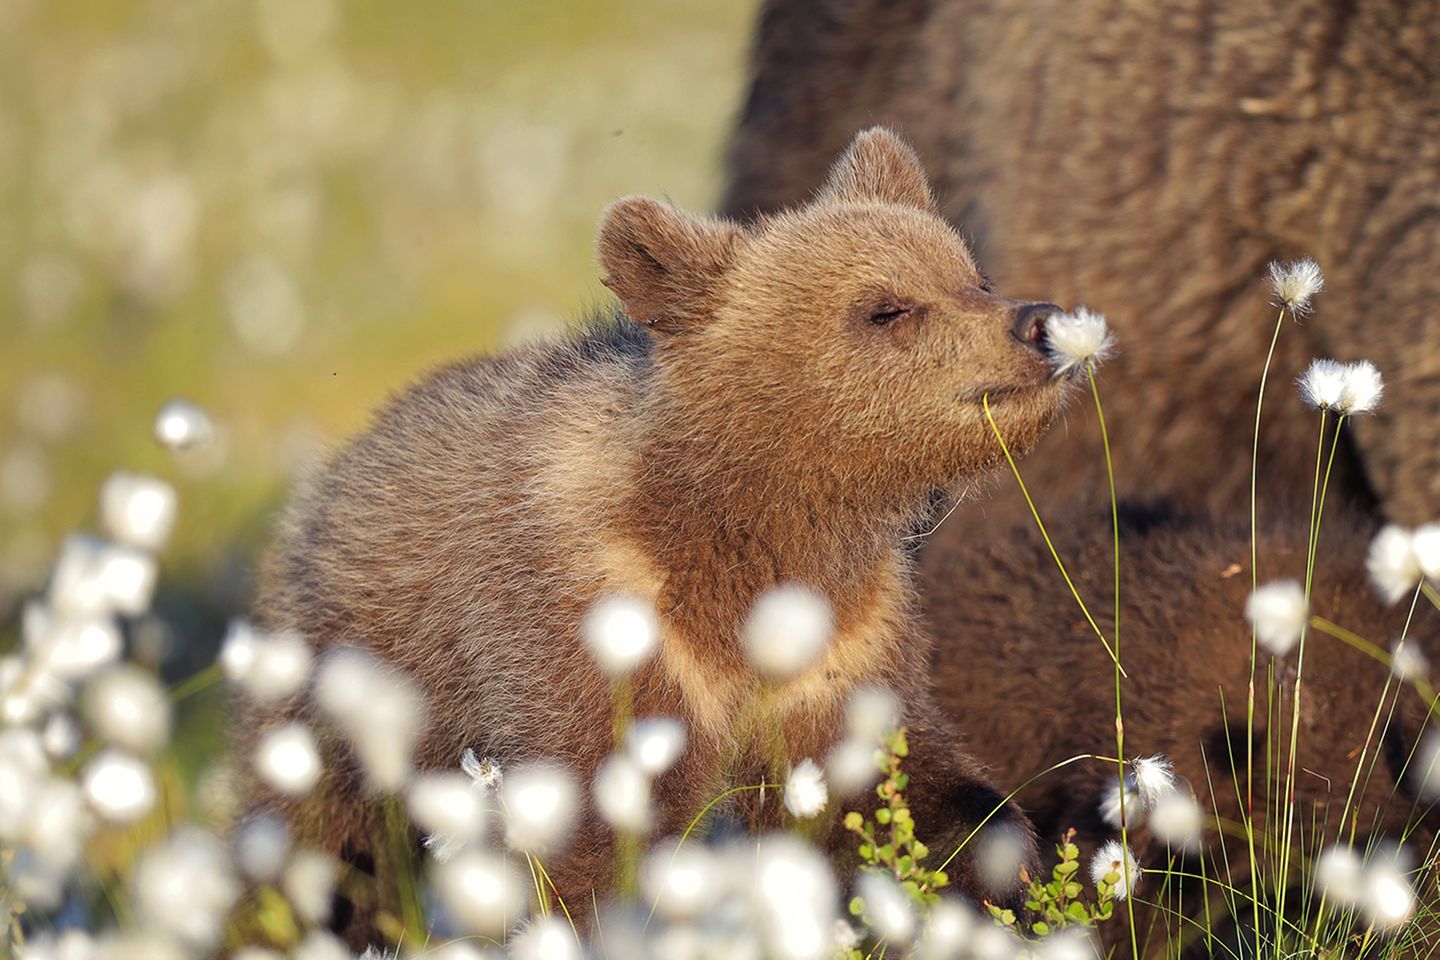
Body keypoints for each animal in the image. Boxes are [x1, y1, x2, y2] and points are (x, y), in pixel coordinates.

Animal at [248, 127, 1077, 944]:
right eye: (886, 308)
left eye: (972, 273)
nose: (1037, 322)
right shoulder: (592, 629)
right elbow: (592, 834)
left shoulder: (840, 643)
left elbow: (900, 785)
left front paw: (1007, 877)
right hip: (346, 684)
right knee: (322, 840)